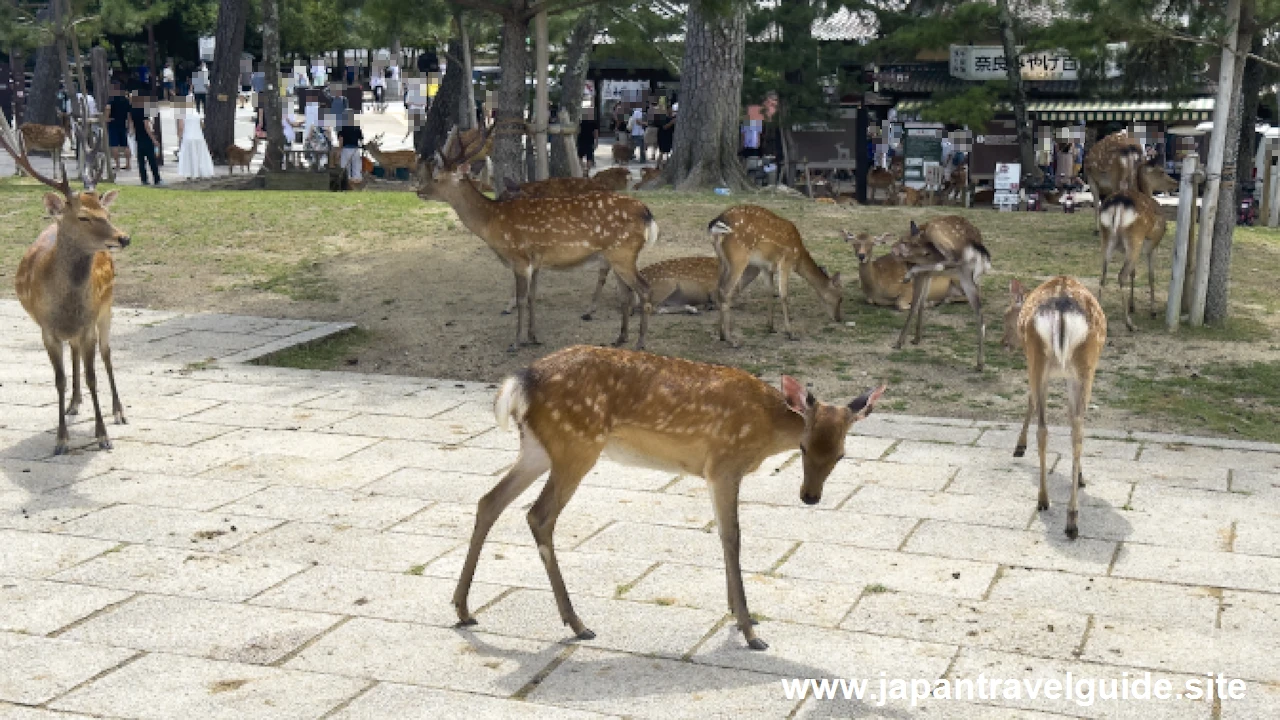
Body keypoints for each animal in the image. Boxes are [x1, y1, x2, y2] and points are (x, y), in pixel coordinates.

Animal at [419, 127, 655, 348]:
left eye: (436, 178)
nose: (420, 191)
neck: (492, 223)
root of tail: (646, 213)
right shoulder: (536, 262)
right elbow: (533, 297)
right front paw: (533, 337)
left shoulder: (520, 258)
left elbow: (522, 299)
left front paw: (516, 342)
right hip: (616, 257)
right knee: (625, 294)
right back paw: (620, 338)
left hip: (623, 252)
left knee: (644, 290)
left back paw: (640, 342)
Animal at [455, 345, 885, 648]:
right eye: (804, 447)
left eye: (842, 455)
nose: (810, 497)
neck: (764, 430)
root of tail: (522, 381)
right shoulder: (724, 463)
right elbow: (733, 536)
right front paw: (750, 631)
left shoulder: (713, 472)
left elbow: (721, 535)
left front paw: (737, 614)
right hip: (576, 445)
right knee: (539, 515)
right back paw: (577, 624)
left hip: (538, 448)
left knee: (489, 501)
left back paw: (464, 609)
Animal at [706, 203, 844, 345]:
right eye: (840, 298)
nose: (838, 318)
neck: (798, 257)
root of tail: (716, 222)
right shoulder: (786, 262)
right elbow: (783, 295)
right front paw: (790, 333)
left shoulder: (766, 268)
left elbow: (770, 291)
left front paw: (770, 327)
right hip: (738, 258)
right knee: (725, 290)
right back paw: (731, 340)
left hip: (723, 260)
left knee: (718, 288)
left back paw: (721, 334)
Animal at [1003, 278, 1105, 535]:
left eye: (1005, 314)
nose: (1003, 343)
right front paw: (1080, 476)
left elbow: (1032, 400)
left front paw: (1019, 447)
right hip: (1083, 366)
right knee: (1072, 432)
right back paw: (1067, 515)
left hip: (1041, 360)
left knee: (1048, 429)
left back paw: (1051, 504)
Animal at [1095, 185, 1167, 330]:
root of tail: (1118, 204)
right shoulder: (1153, 247)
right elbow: (1151, 276)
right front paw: (1153, 311)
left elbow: (1133, 273)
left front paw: (1132, 306)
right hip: (1135, 238)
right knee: (1122, 275)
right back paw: (1130, 324)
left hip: (1106, 238)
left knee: (1103, 276)